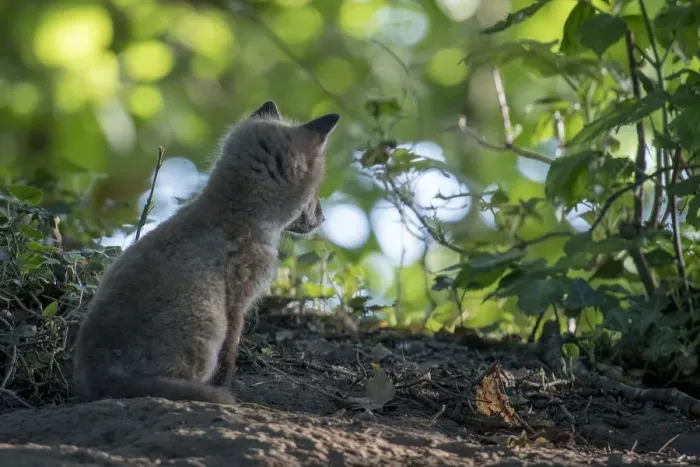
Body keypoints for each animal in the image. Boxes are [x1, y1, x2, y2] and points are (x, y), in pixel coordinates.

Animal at [72, 101, 339, 404]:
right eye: (316, 189)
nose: (323, 218)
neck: (235, 214)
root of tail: (101, 373)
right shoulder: (238, 302)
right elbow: (229, 356)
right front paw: (226, 388)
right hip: (207, 327)